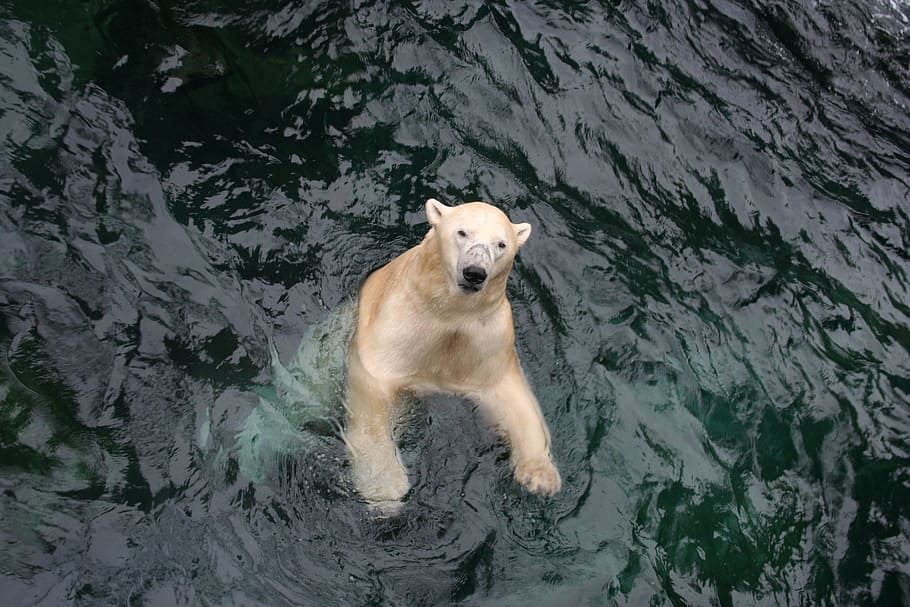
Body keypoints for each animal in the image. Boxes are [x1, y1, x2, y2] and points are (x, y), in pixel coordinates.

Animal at [346, 197, 564, 506]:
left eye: (501, 244)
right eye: (462, 232)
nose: (475, 273)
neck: (450, 311)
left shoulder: (487, 337)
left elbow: (512, 397)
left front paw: (541, 477)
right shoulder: (399, 325)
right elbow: (374, 395)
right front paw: (386, 485)